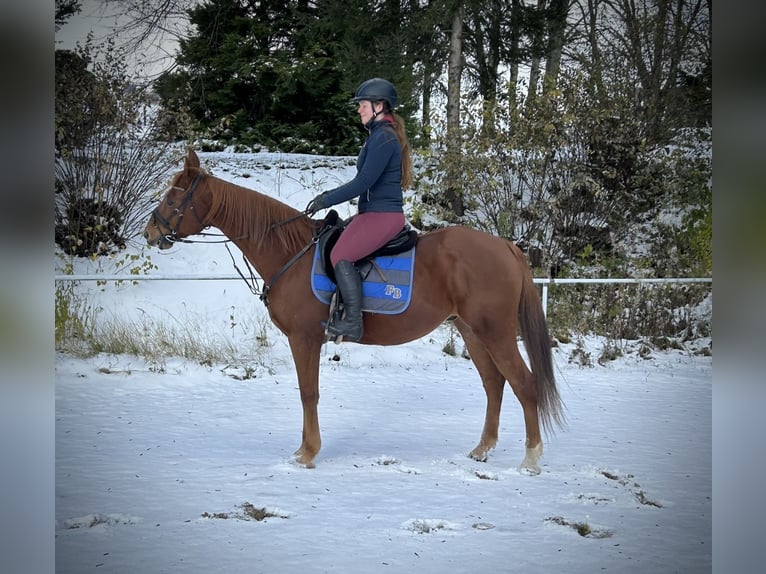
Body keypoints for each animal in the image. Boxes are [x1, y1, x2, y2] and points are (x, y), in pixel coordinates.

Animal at [144, 147, 568, 472]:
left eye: (173, 197)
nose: (150, 232)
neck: (289, 252)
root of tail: (506, 246)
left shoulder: (305, 338)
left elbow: (308, 393)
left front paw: (307, 453)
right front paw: (305, 449)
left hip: (495, 332)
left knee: (524, 384)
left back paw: (531, 459)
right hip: (471, 329)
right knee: (494, 383)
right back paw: (482, 450)